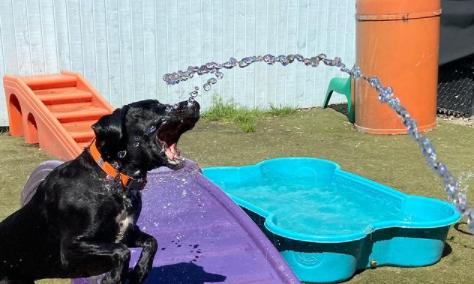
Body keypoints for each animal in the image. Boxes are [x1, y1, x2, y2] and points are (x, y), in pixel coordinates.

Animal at [0, 98, 199, 282]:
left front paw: (139, 272)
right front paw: (114, 277)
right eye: (153, 106)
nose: (194, 103)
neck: (112, 180)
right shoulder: (71, 249)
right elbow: (122, 251)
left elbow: (152, 242)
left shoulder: (126, 232)